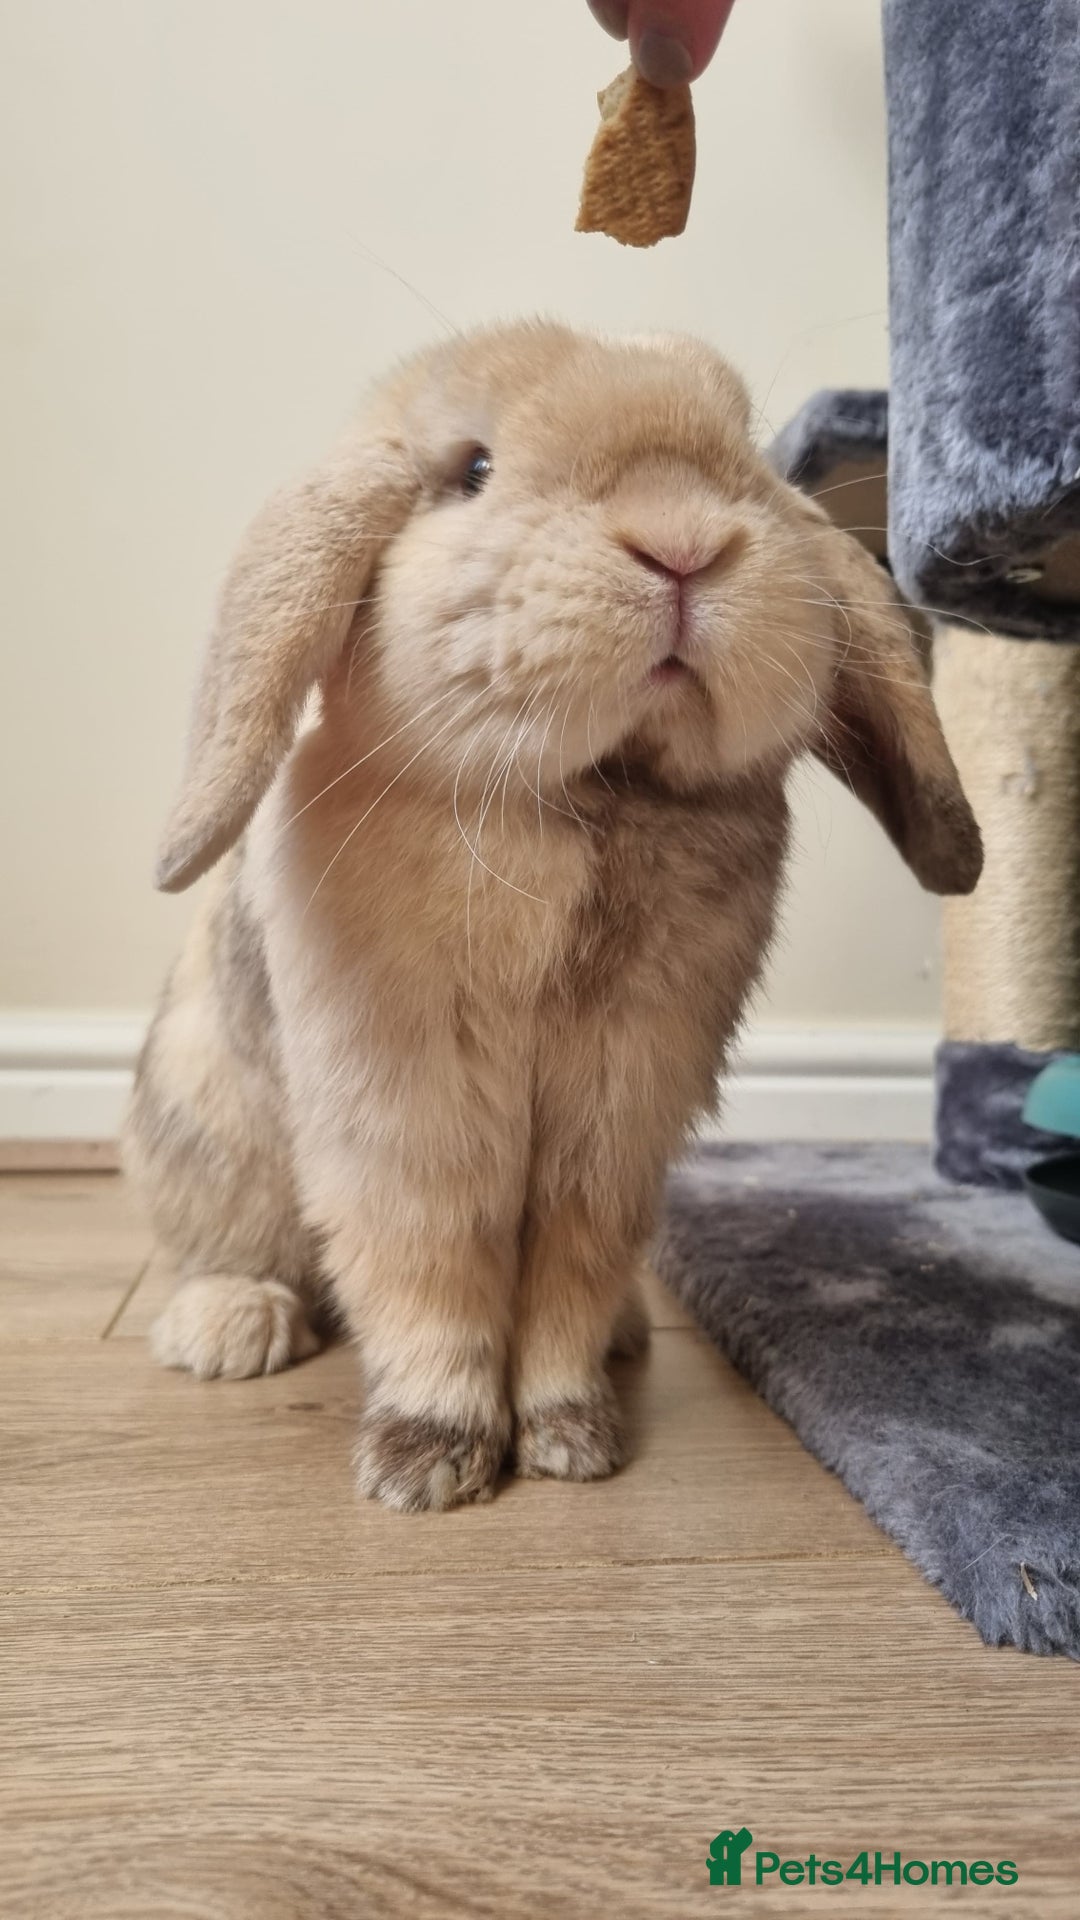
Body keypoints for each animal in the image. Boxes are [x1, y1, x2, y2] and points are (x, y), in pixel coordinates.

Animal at [124, 320, 982, 1511]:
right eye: (472, 470)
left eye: (738, 455)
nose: (684, 543)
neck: (585, 798)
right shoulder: (407, 1107)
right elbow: (433, 1259)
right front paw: (428, 1464)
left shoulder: (619, 1114)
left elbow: (569, 1270)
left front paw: (573, 1438)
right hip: (212, 1144)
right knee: (234, 1249)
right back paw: (229, 1330)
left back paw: (625, 1337)